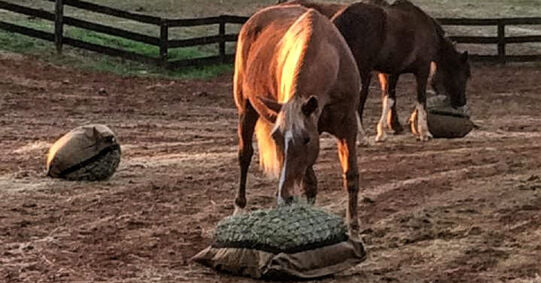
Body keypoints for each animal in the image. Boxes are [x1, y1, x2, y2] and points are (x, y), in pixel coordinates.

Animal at [234, 5, 360, 235]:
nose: (285, 196)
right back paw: (239, 209)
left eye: (306, 139)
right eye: (276, 137)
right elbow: (309, 184)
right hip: (246, 109)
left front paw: (354, 232)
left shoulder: (347, 127)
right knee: (244, 155)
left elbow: (351, 176)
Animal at [280, 0, 470, 142]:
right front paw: (425, 132)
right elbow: (420, 100)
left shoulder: (390, 72)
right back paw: (360, 136)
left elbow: (389, 99)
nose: (462, 102)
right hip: (361, 70)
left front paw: (382, 131)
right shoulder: (421, 70)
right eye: (465, 75)